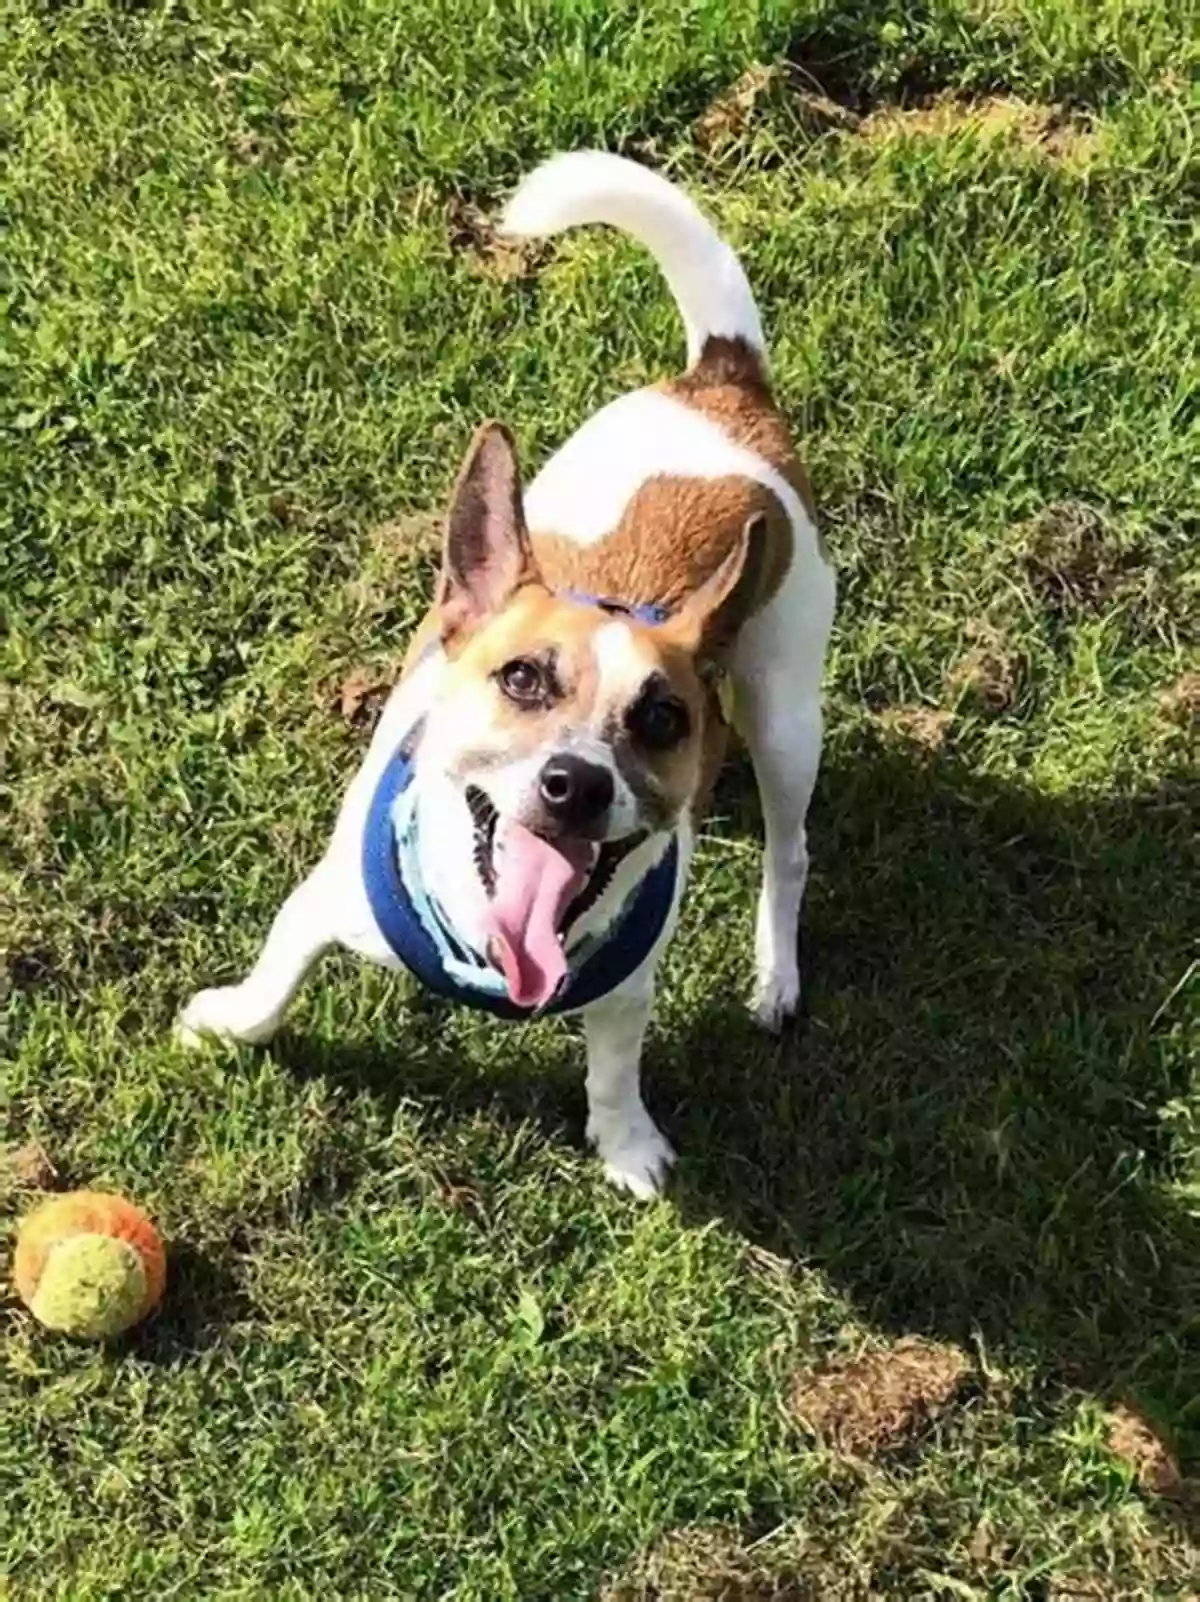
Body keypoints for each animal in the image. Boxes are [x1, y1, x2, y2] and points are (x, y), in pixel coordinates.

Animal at [180, 152, 833, 1204]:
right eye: (521, 678)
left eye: (660, 719)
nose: (577, 782)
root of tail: (720, 383)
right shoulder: (322, 904)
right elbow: (277, 976)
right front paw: (229, 1023)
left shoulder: (626, 988)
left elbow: (613, 1067)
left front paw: (625, 1144)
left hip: (786, 710)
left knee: (790, 849)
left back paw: (775, 972)